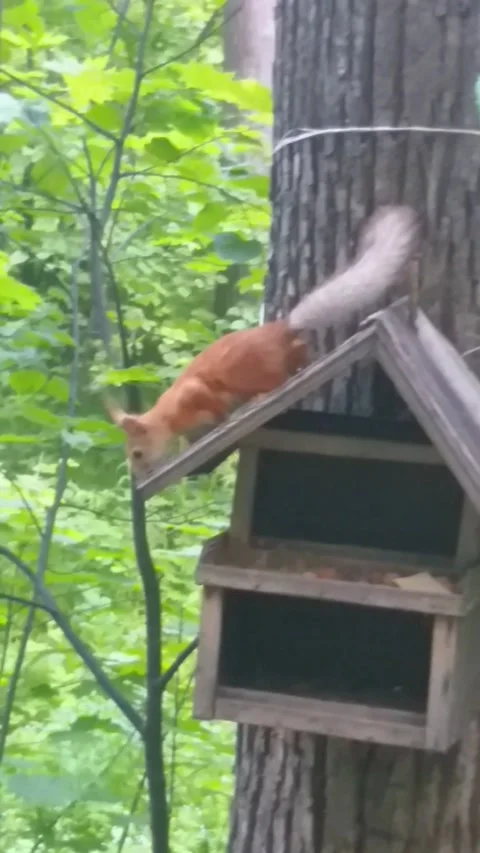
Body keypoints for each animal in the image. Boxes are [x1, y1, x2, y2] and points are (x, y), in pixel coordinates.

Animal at [107, 205, 420, 479]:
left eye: (137, 453)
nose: (138, 477)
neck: (169, 418)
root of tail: (279, 329)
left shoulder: (192, 393)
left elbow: (213, 405)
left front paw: (221, 419)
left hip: (253, 370)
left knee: (277, 379)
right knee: (298, 350)